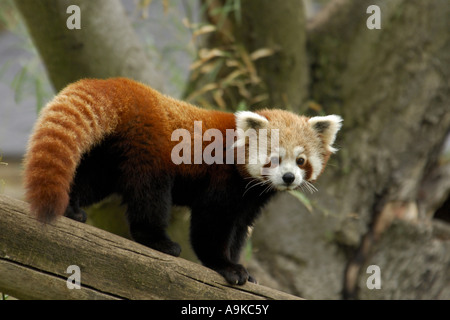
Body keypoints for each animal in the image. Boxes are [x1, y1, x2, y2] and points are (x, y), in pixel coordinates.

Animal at [22, 77, 342, 284]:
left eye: (301, 161)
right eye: (273, 159)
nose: (288, 177)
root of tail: (129, 88)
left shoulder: (249, 201)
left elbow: (239, 230)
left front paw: (243, 267)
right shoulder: (221, 181)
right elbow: (209, 226)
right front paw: (227, 267)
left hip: (111, 155)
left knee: (91, 180)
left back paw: (71, 208)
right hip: (148, 152)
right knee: (149, 198)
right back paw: (158, 240)